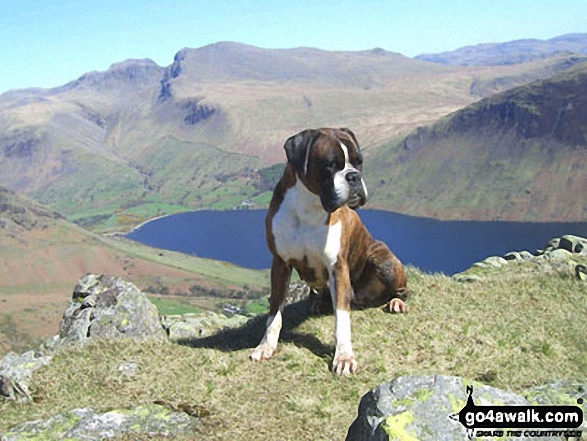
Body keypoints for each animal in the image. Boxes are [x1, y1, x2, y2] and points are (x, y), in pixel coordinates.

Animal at [252, 127, 408, 374]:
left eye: (359, 162)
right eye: (331, 165)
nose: (354, 176)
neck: (309, 205)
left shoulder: (338, 267)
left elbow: (342, 318)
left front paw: (344, 357)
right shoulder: (280, 263)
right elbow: (274, 312)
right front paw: (266, 345)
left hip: (383, 260)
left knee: (401, 290)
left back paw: (397, 302)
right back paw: (322, 302)